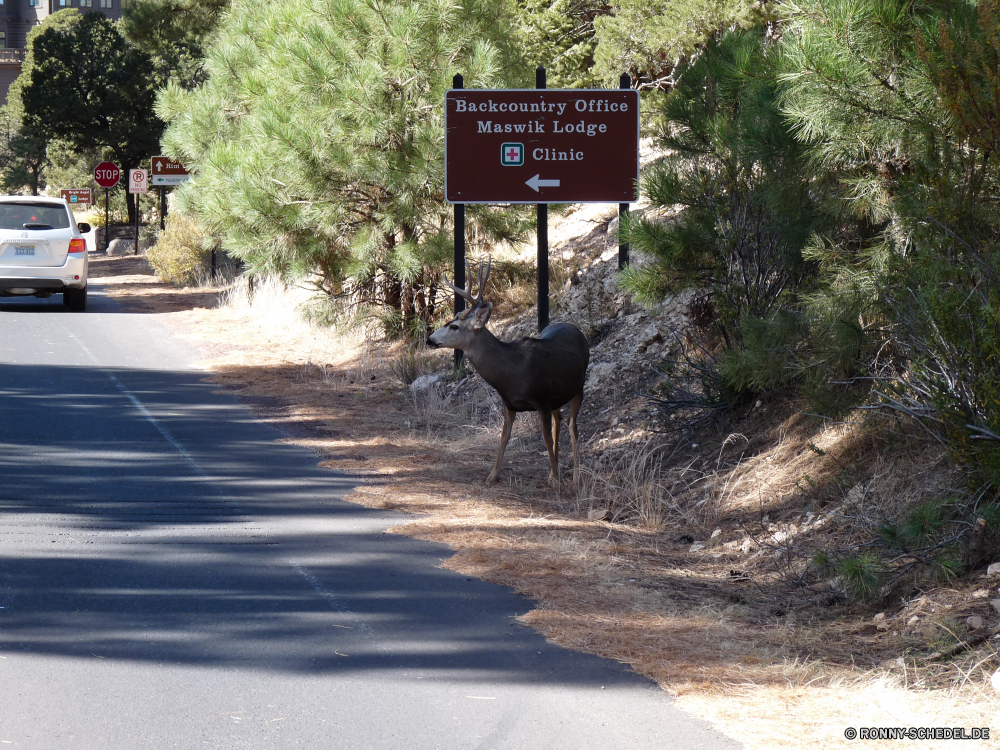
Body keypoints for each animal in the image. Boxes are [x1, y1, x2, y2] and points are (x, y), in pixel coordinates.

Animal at [426, 262, 588, 490]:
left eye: (454, 326)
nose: (429, 339)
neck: (511, 371)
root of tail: (575, 328)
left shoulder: (542, 398)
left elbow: (545, 437)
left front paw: (557, 480)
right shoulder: (509, 402)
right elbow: (504, 436)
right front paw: (492, 475)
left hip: (578, 387)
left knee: (572, 427)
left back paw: (574, 476)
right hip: (558, 396)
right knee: (559, 422)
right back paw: (552, 473)